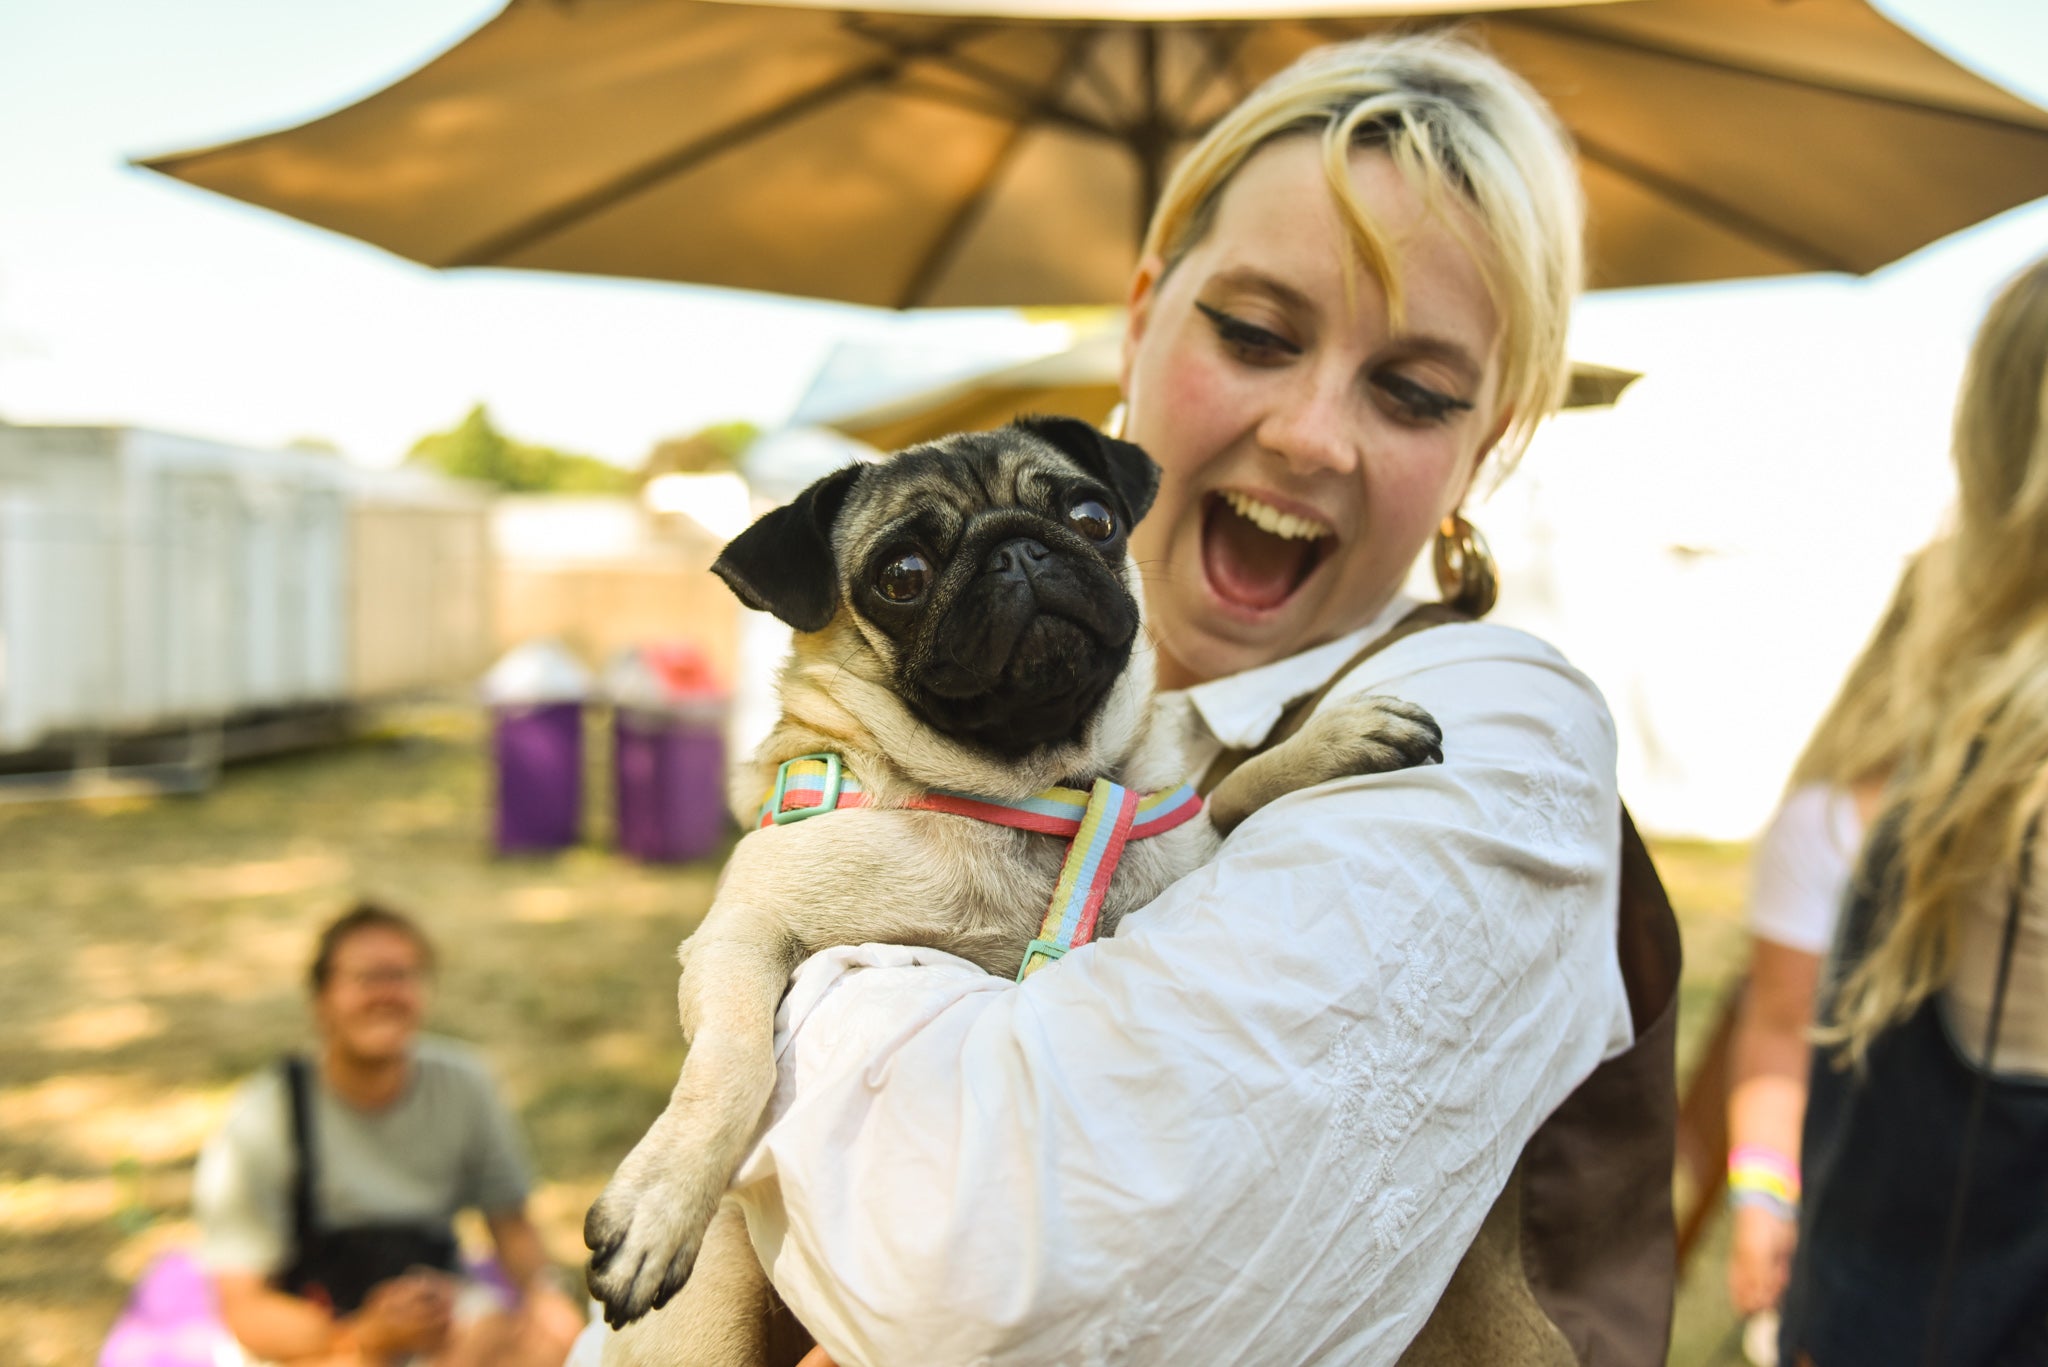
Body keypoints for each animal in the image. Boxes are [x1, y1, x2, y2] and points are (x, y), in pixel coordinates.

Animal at [577, 420, 1441, 1367]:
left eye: (1094, 516)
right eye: (902, 574)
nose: (1018, 547)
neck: (1033, 790)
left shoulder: (1183, 840)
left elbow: (1226, 793)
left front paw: (1328, 740)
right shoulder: (744, 930)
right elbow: (733, 1059)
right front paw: (661, 1200)